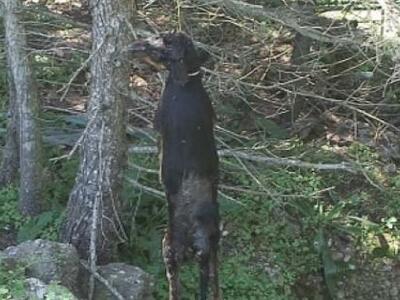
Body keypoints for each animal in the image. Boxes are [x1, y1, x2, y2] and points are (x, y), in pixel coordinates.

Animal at [130, 31, 220, 298]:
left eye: (160, 41)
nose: (134, 46)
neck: (187, 80)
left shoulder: (158, 123)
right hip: (215, 248)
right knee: (215, 285)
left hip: (168, 249)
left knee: (176, 288)